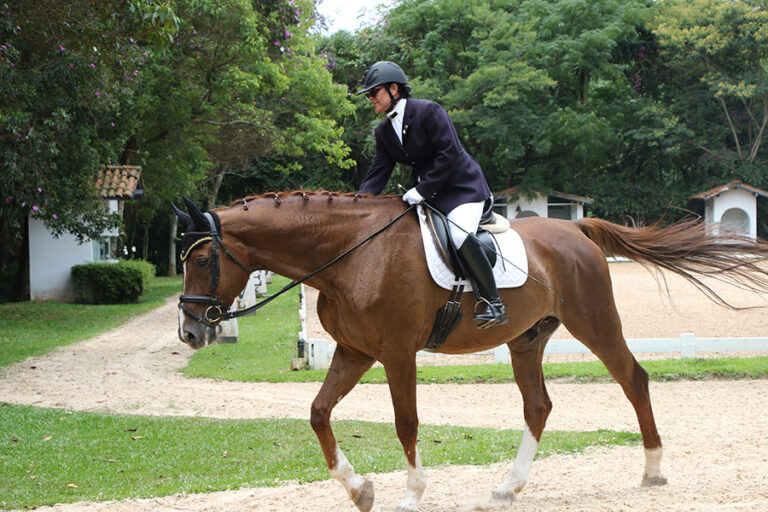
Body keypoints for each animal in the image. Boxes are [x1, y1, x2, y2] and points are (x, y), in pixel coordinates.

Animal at [172, 190, 768, 510]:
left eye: (201, 259)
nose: (191, 333)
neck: (350, 253)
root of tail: (577, 231)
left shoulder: (396, 353)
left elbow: (406, 422)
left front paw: (411, 492)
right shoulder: (353, 351)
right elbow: (318, 412)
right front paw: (360, 488)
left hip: (595, 323)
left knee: (634, 379)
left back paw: (653, 469)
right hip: (528, 339)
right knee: (538, 406)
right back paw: (508, 486)